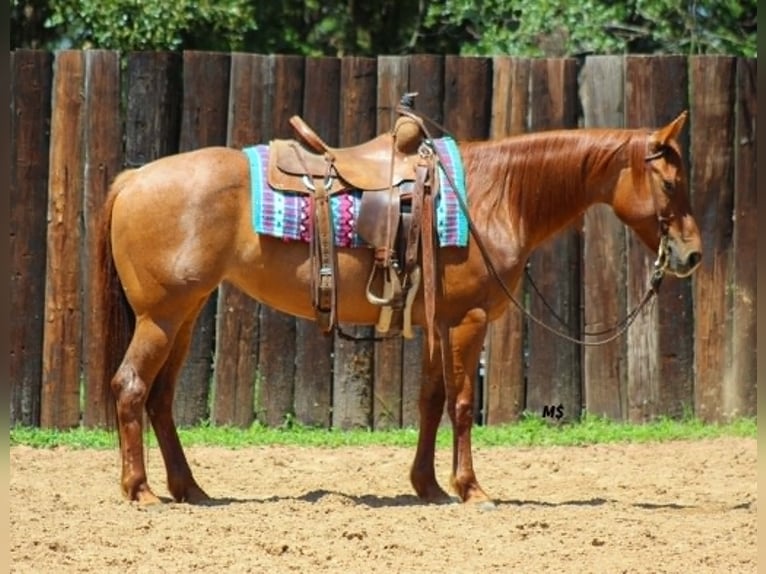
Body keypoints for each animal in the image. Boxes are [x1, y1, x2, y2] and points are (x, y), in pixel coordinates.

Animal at [97, 111, 702, 505]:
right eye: (671, 182)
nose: (692, 255)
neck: (494, 195)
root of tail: (133, 178)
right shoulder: (468, 322)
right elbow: (463, 404)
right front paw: (471, 489)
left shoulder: (440, 321)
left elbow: (431, 401)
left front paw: (427, 486)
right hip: (161, 317)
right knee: (131, 387)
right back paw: (140, 490)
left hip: (186, 314)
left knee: (160, 399)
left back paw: (190, 489)